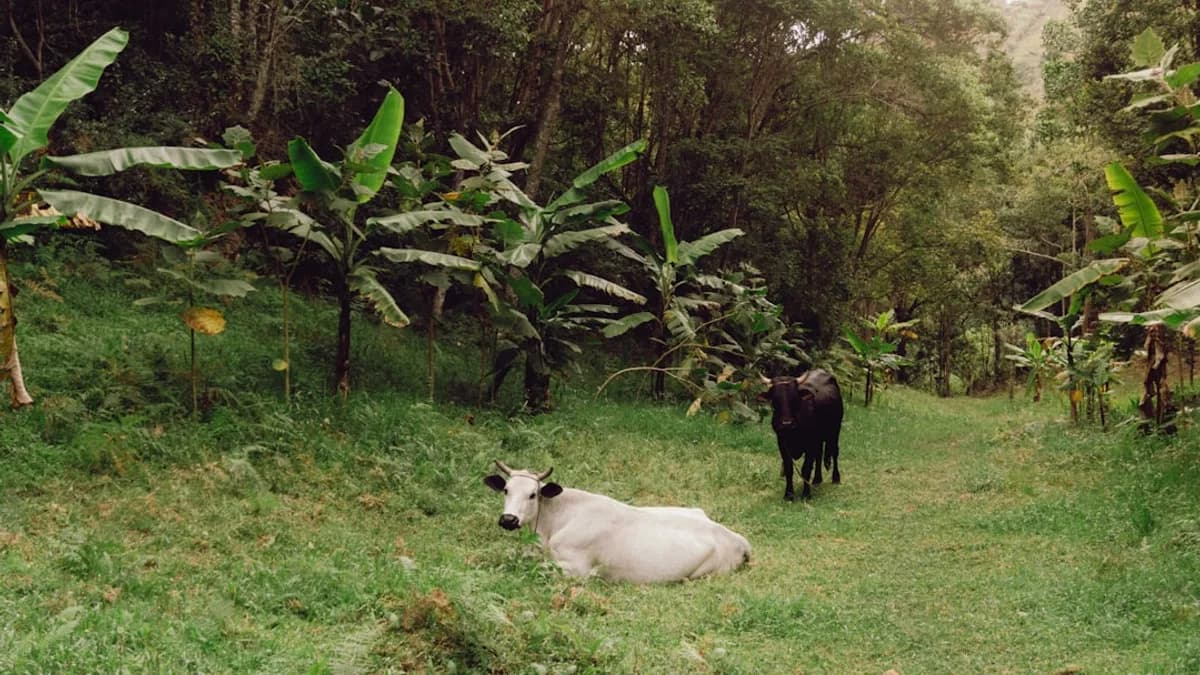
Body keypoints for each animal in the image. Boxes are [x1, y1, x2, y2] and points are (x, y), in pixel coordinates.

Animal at [760, 369, 844, 501]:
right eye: (775, 400)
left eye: (794, 398)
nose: (787, 423)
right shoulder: (782, 443)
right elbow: (788, 468)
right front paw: (788, 495)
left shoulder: (810, 443)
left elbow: (806, 469)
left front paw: (806, 494)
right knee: (819, 456)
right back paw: (817, 479)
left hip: (835, 431)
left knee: (835, 453)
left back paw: (836, 478)